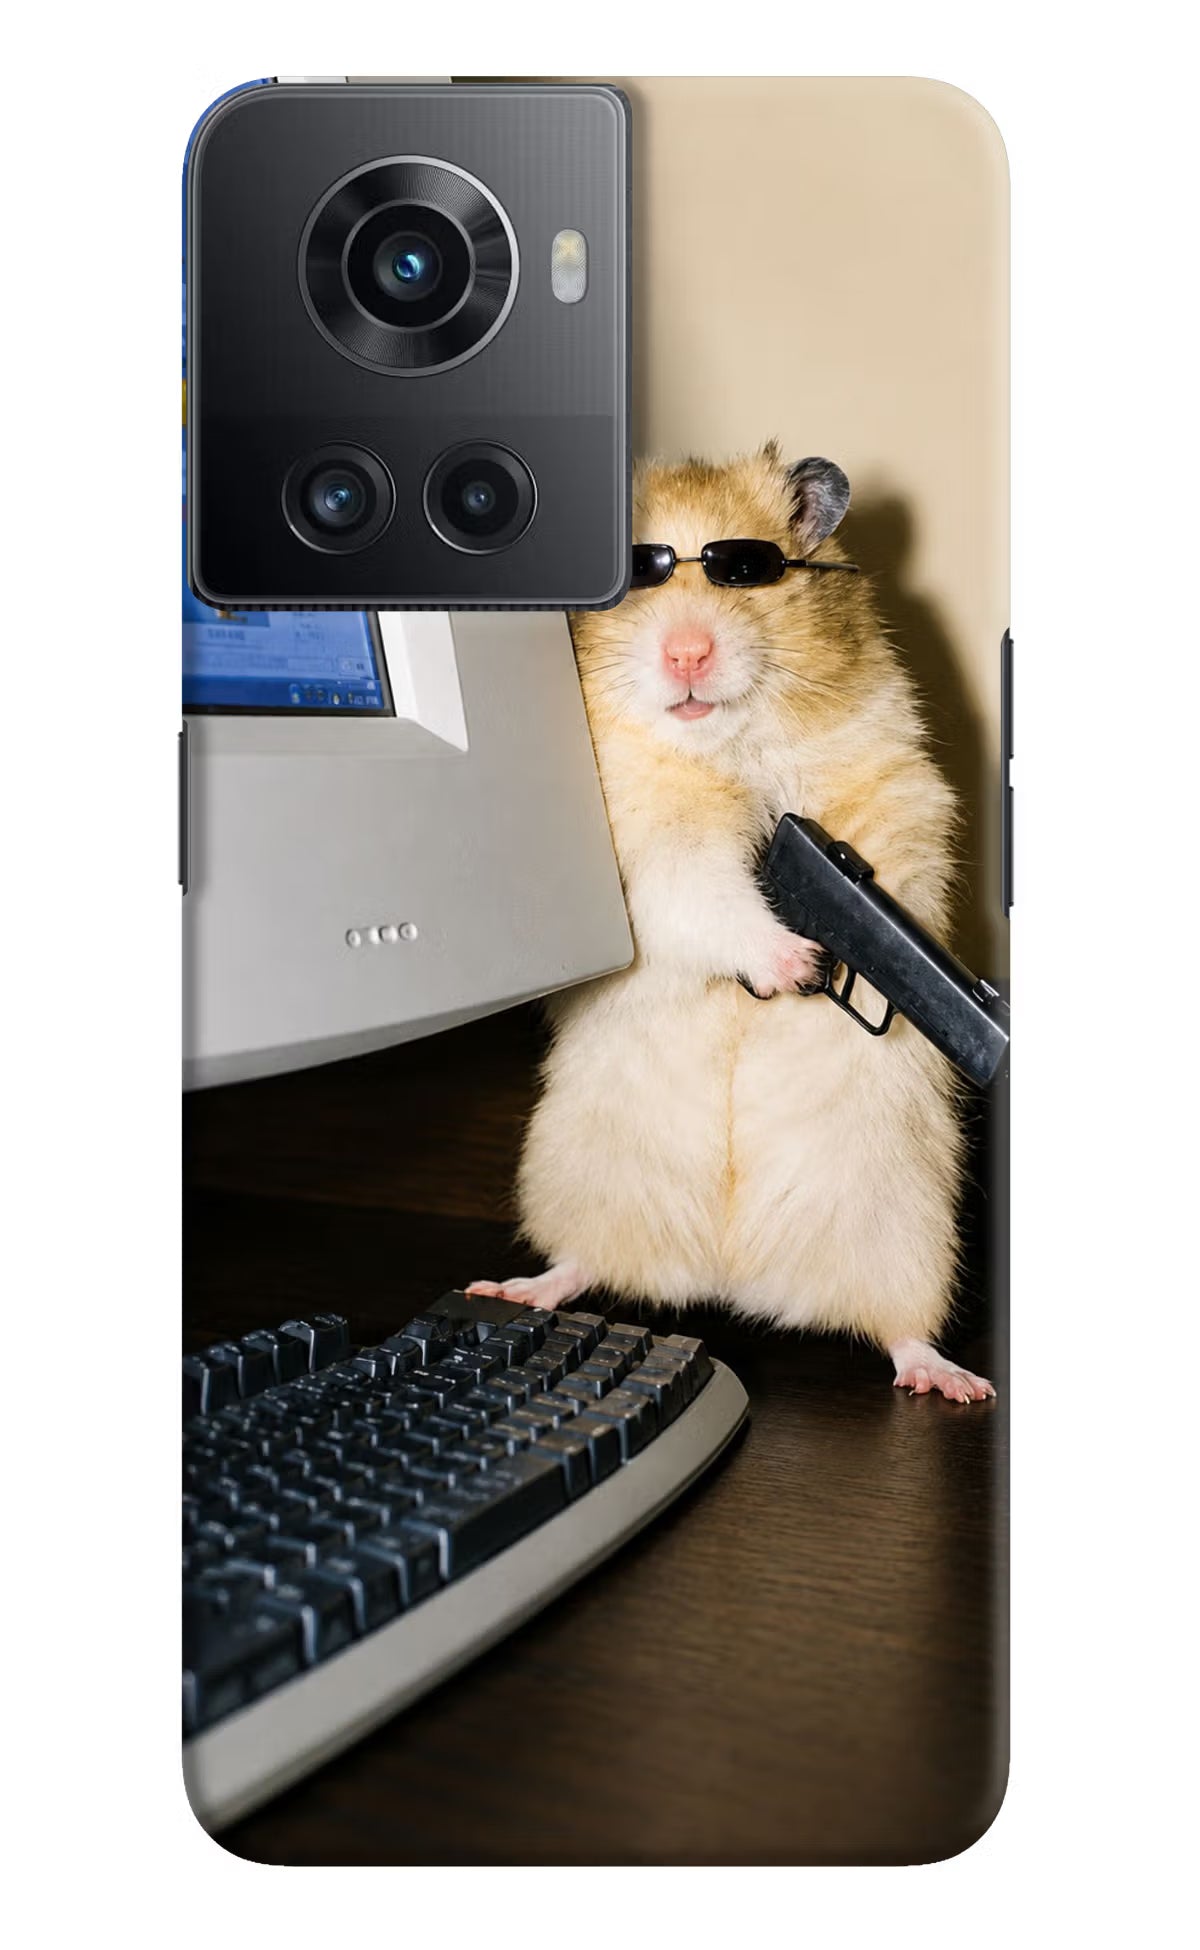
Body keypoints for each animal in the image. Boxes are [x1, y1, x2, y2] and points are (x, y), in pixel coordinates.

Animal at [468, 445, 994, 1402]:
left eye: (747, 571)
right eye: (635, 575)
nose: (687, 652)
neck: (725, 746)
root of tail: (730, 1276)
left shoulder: (894, 788)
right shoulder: (650, 851)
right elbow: (708, 895)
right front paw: (798, 964)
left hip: (908, 1229)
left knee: (900, 1329)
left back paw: (953, 1381)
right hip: (579, 1176)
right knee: (582, 1263)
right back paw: (514, 1288)